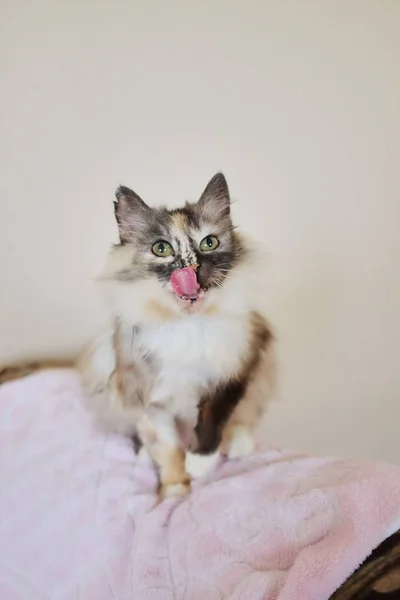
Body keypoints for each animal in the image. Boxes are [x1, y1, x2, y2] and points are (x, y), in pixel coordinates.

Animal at [79, 172, 276, 496]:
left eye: (209, 243)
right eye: (162, 249)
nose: (191, 267)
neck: (187, 325)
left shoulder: (235, 371)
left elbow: (214, 420)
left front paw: (199, 464)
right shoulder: (146, 397)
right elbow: (167, 446)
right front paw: (175, 489)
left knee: (242, 420)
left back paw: (237, 445)